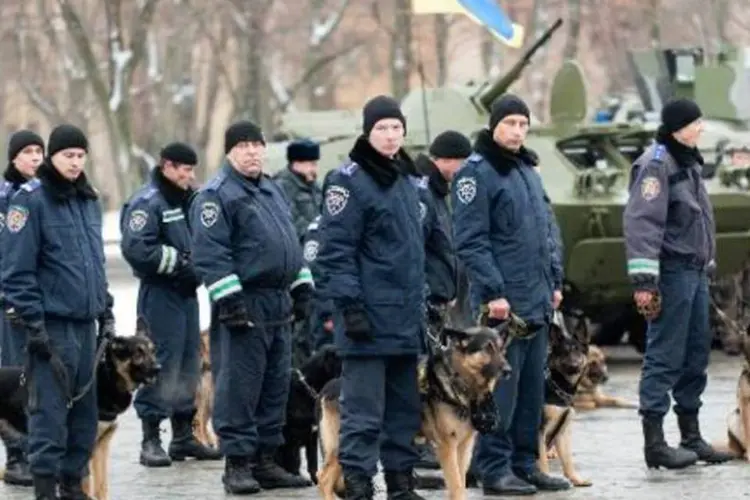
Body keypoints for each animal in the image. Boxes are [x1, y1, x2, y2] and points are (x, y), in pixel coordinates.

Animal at [0, 318, 160, 498]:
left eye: (153, 351)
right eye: (138, 353)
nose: (158, 368)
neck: (108, 379)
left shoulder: (102, 445)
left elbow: (101, 486)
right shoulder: (86, 447)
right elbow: (85, 482)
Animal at [276, 346, 344, 482]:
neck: (307, 388)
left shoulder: (313, 435)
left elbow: (313, 463)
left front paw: (316, 480)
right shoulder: (291, 437)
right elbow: (293, 462)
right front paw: (297, 478)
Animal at [318, 324, 512, 500]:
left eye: (501, 349)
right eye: (487, 348)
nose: (508, 371)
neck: (460, 381)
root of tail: (330, 386)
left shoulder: (465, 446)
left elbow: (461, 483)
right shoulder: (447, 446)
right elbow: (456, 486)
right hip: (342, 443)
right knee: (324, 478)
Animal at [540, 310, 592, 486]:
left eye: (578, 351)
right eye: (564, 353)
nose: (574, 366)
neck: (557, 386)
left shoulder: (563, 431)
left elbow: (568, 458)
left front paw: (576, 479)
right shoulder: (539, 430)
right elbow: (542, 461)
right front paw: (546, 478)